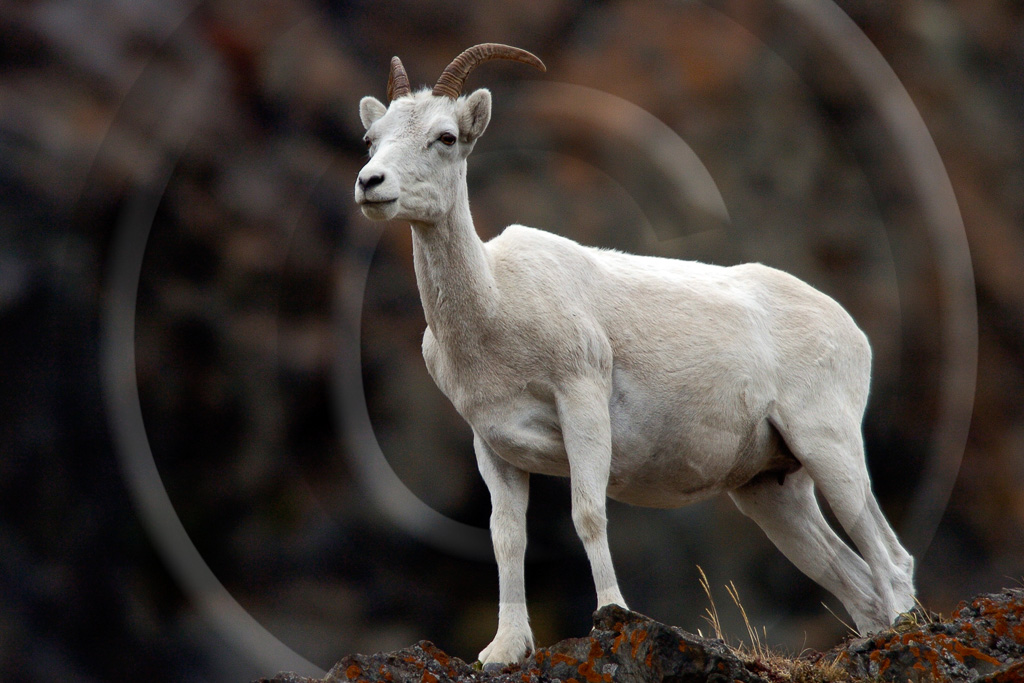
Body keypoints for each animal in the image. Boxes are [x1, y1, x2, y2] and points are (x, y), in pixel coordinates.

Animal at [356, 44, 917, 667]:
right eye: (372, 138)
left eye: (446, 136)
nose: (370, 183)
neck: (495, 307)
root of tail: (851, 330)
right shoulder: (494, 445)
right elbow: (506, 537)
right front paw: (504, 649)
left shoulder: (582, 406)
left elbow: (588, 514)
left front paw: (611, 615)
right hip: (774, 492)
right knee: (857, 582)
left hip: (829, 447)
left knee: (892, 562)